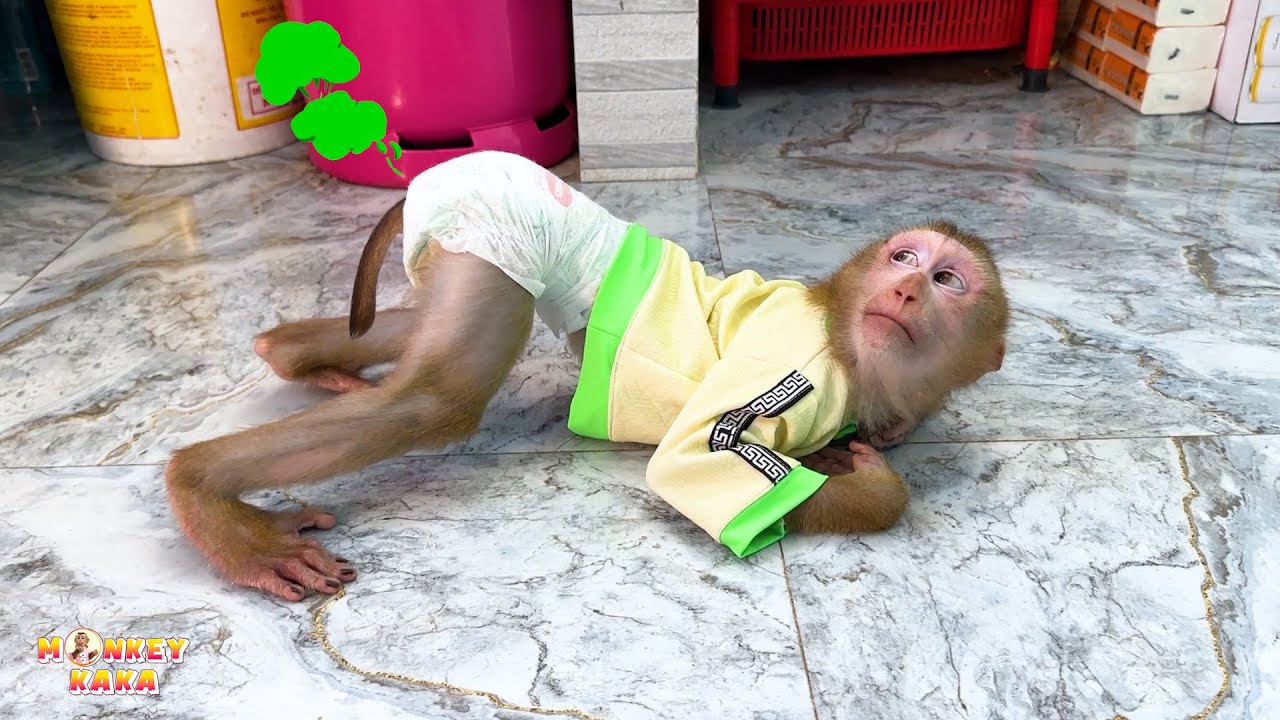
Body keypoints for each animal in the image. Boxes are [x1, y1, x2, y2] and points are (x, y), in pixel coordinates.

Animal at [165, 150, 1009, 602]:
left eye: (947, 281)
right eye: (905, 259)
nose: (907, 290)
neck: (848, 338)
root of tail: (453, 169)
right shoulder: (798, 363)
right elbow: (693, 461)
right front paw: (873, 486)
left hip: (471, 247)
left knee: (417, 336)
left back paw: (291, 356)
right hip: (503, 225)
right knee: (437, 398)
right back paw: (201, 489)